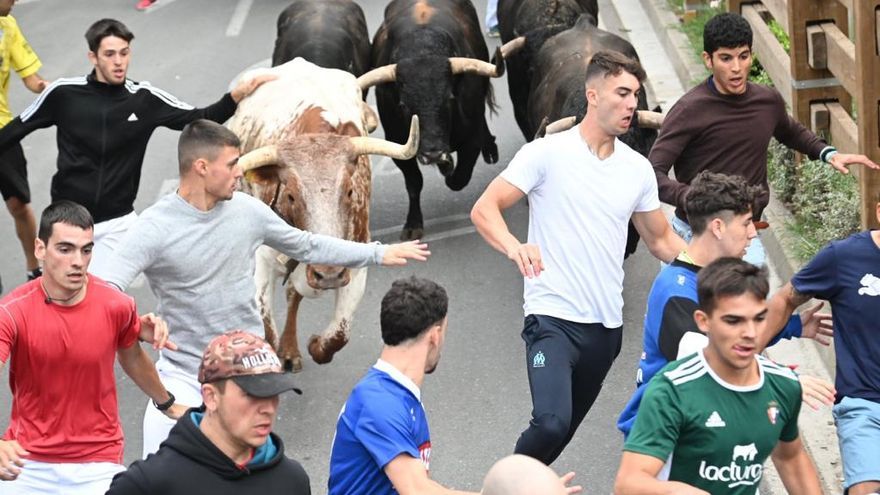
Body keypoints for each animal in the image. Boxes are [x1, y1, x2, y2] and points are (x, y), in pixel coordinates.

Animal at [227, 58, 420, 370]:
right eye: (291, 195)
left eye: (351, 191)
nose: (328, 273)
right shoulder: (262, 259)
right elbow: (265, 328)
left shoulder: (357, 263)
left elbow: (339, 334)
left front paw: (315, 344)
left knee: (294, 295)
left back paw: (291, 349)